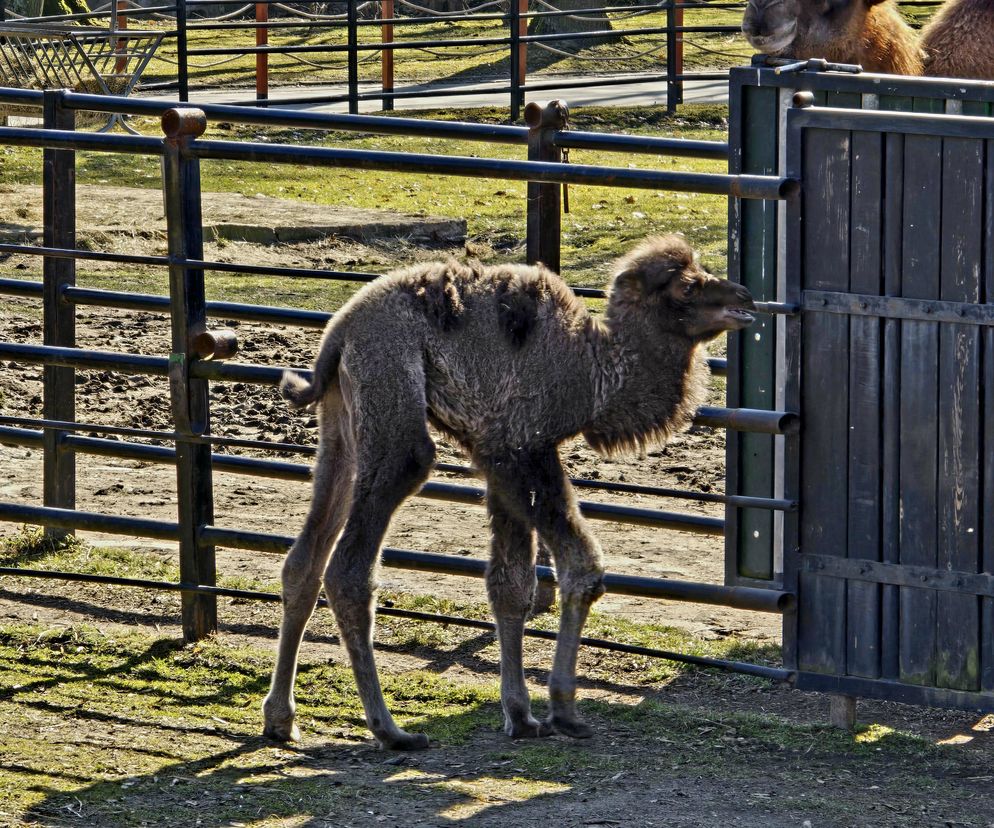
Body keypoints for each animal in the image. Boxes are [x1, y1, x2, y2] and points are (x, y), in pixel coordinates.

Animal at [262, 234, 752, 752]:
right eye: (686, 286)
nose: (744, 298)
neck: (592, 372)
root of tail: (339, 333)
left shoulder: (495, 455)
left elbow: (510, 585)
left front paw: (520, 714)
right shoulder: (522, 446)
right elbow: (581, 568)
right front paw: (563, 709)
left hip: (340, 420)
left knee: (305, 559)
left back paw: (281, 718)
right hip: (391, 389)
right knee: (353, 563)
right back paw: (391, 730)